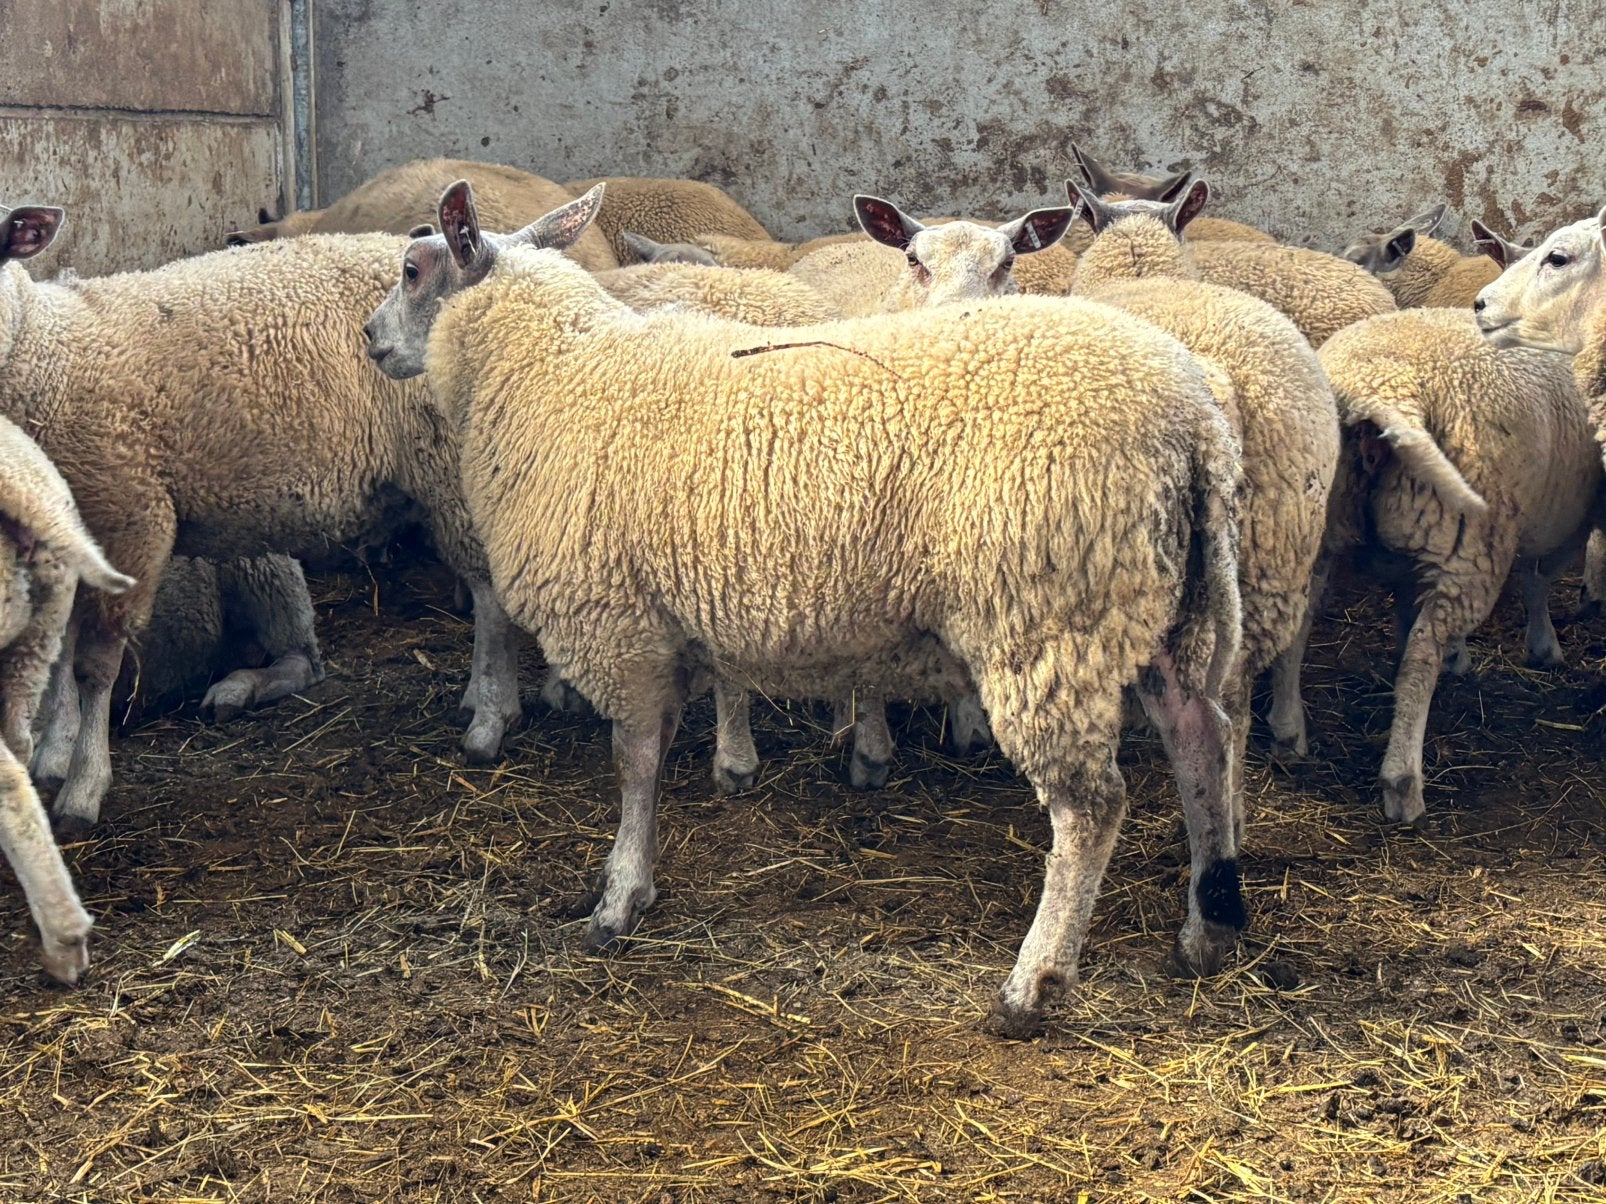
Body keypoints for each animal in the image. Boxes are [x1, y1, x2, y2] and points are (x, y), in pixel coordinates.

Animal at [0, 204, 524, 829]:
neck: (51, 353)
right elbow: (58, 657)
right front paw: (54, 755)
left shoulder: (128, 516)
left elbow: (93, 666)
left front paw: (83, 787)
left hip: (449, 467)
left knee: (488, 594)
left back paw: (489, 714)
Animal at [1312, 306, 1603, 823]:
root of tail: (1383, 389)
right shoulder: (1565, 516)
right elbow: (1538, 579)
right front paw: (1544, 646)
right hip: (1472, 536)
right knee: (1421, 653)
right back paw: (1403, 782)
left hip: (1319, 522)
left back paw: (1286, 728)